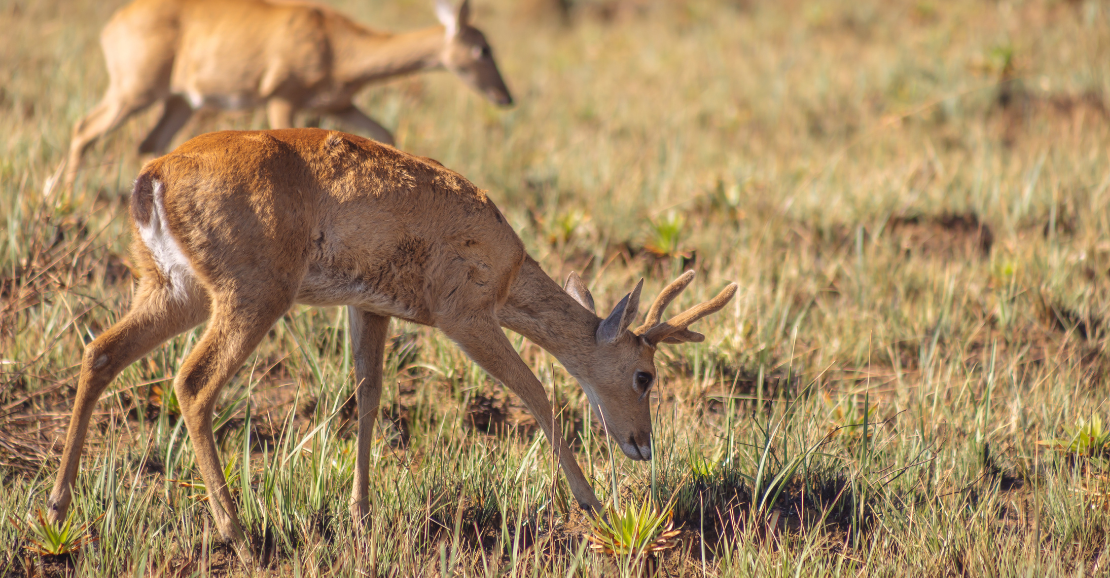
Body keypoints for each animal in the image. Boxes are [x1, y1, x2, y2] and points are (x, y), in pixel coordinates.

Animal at [45, 128, 737, 548]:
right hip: (250, 296)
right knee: (191, 382)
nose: (643, 445)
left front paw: (362, 514)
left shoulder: (369, 307)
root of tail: (153, 177)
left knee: (100, 351)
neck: (507, 265)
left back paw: (57, 505)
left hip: (172, 288)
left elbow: (369, 397)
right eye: (645, 374)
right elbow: (539, 394)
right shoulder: (465, 317)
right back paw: (236, 531)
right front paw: (592, 505)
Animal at [54, 0, 512, 191]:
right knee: (83, 129)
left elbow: (385, 134)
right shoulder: (282, 99)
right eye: (482, 48)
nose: (505, 97)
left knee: (149, 144)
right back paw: (60, 196)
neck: (334, 41)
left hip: (178, 102)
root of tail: (114, 23)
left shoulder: (340, 104)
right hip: (134, 93)